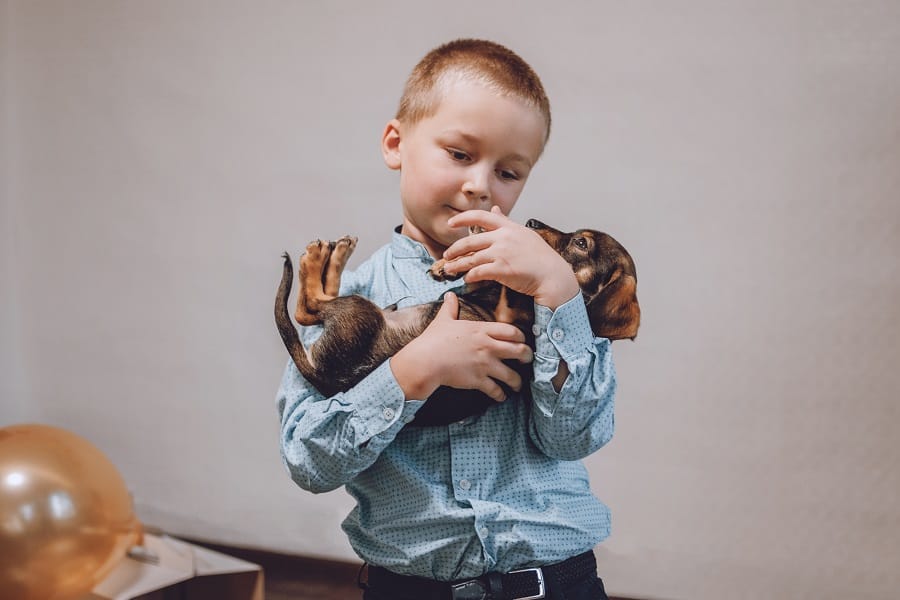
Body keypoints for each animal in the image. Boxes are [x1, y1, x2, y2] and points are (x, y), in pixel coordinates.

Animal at [274, 218, 640, 424]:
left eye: (580, 243)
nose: (532, 222)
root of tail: (325, 378)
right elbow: (484, 271)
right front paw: (451, 262)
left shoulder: (509, 316)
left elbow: (506, 279)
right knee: (309, 309)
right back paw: (335, 253)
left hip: (359, 313)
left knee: (307, 307)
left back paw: (318, 257)